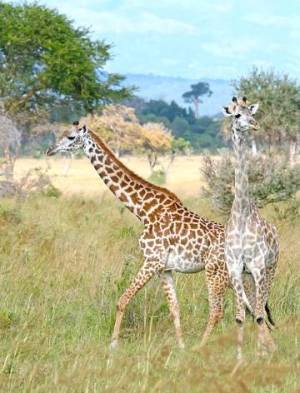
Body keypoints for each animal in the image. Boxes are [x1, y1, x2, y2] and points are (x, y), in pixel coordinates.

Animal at [47, 121, 274, 348]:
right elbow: (174, 309)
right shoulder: (165, 269)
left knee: (219, 311)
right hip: (242, 277)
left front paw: (113, 345)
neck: (143, 211)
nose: (50, 150)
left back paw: (201, 347)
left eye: (70, 137)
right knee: (257, 311)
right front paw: (181, 347)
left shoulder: (152, 260)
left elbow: (122, 300)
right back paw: (268, 348)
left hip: (216, 272)